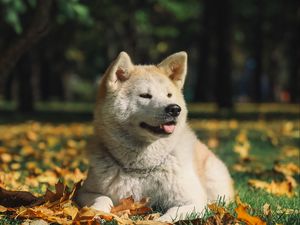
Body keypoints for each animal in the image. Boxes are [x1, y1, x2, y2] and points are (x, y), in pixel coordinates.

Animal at [75, 51, 234, 221]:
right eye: (145, 95)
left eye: (169, 95)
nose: (174, 109)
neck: (141, 168)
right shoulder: (85, 192)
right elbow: (102, 198)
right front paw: (97, 213)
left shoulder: (194, 201)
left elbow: (171, 214)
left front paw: (158, 220)